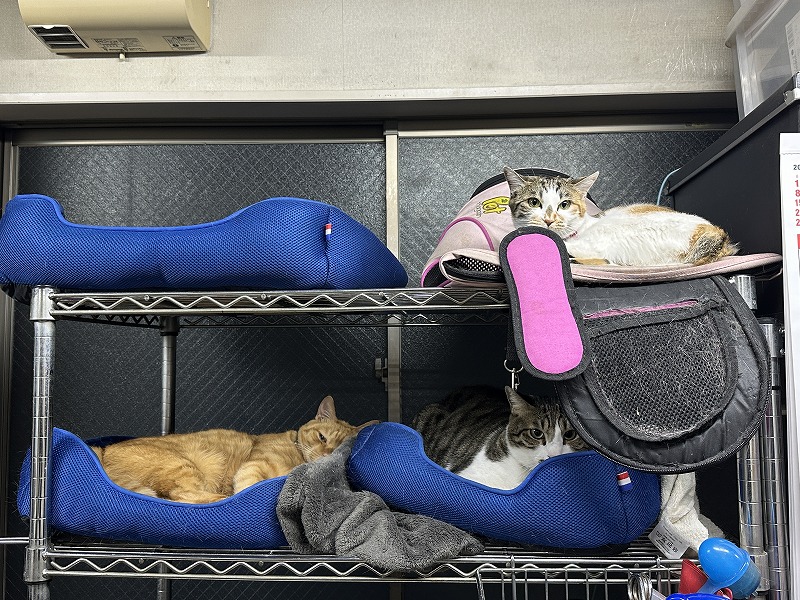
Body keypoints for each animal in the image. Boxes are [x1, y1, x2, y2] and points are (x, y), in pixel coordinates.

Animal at [91, 395, 377, 503]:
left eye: (341, 448)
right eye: (321, 437)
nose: (327, 455)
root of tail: (103, 452)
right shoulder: (255, 466)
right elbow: (248, 487)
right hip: (182, 465)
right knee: (184, 496)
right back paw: (223, 498)